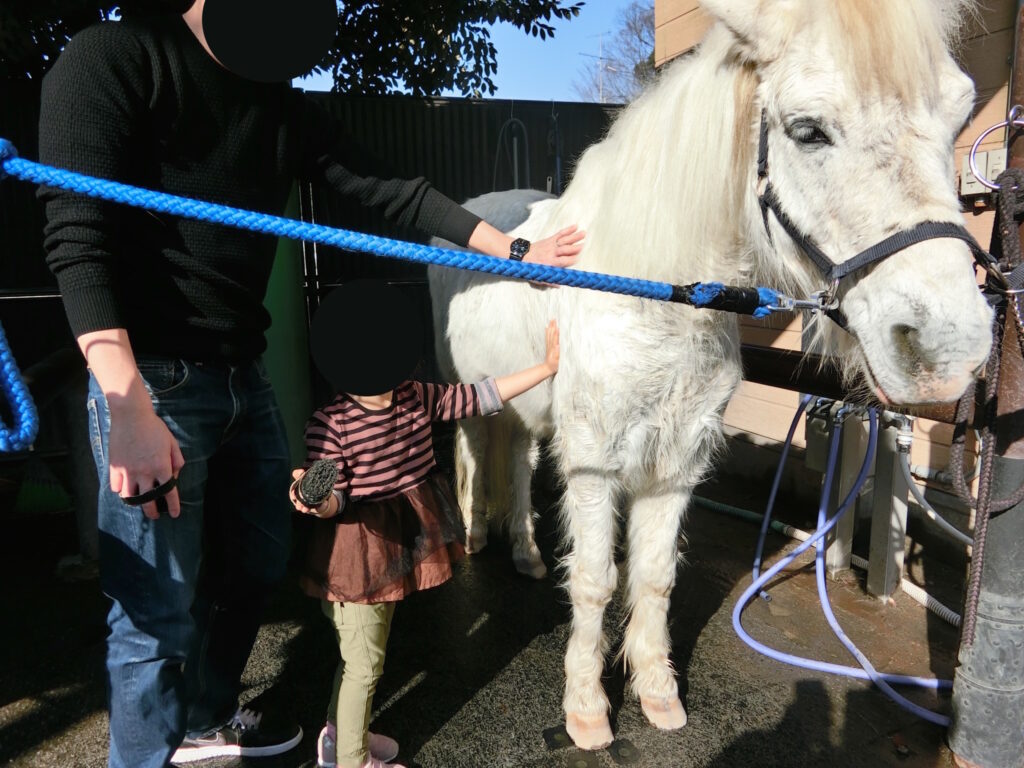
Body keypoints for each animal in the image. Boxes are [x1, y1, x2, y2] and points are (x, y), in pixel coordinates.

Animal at [425, 0, 991, 753]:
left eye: (959, 114)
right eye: (807, 130)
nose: (950, 348)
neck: (651, 292)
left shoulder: (678, 459)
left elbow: (656, 576)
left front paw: (658, 694)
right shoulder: (595, 461)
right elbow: (598, 580)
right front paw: (587, 710)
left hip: (527, 410)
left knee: (515, 460)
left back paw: (523, 552)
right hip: (466, 395)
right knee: (469, 454)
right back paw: (472, 538)